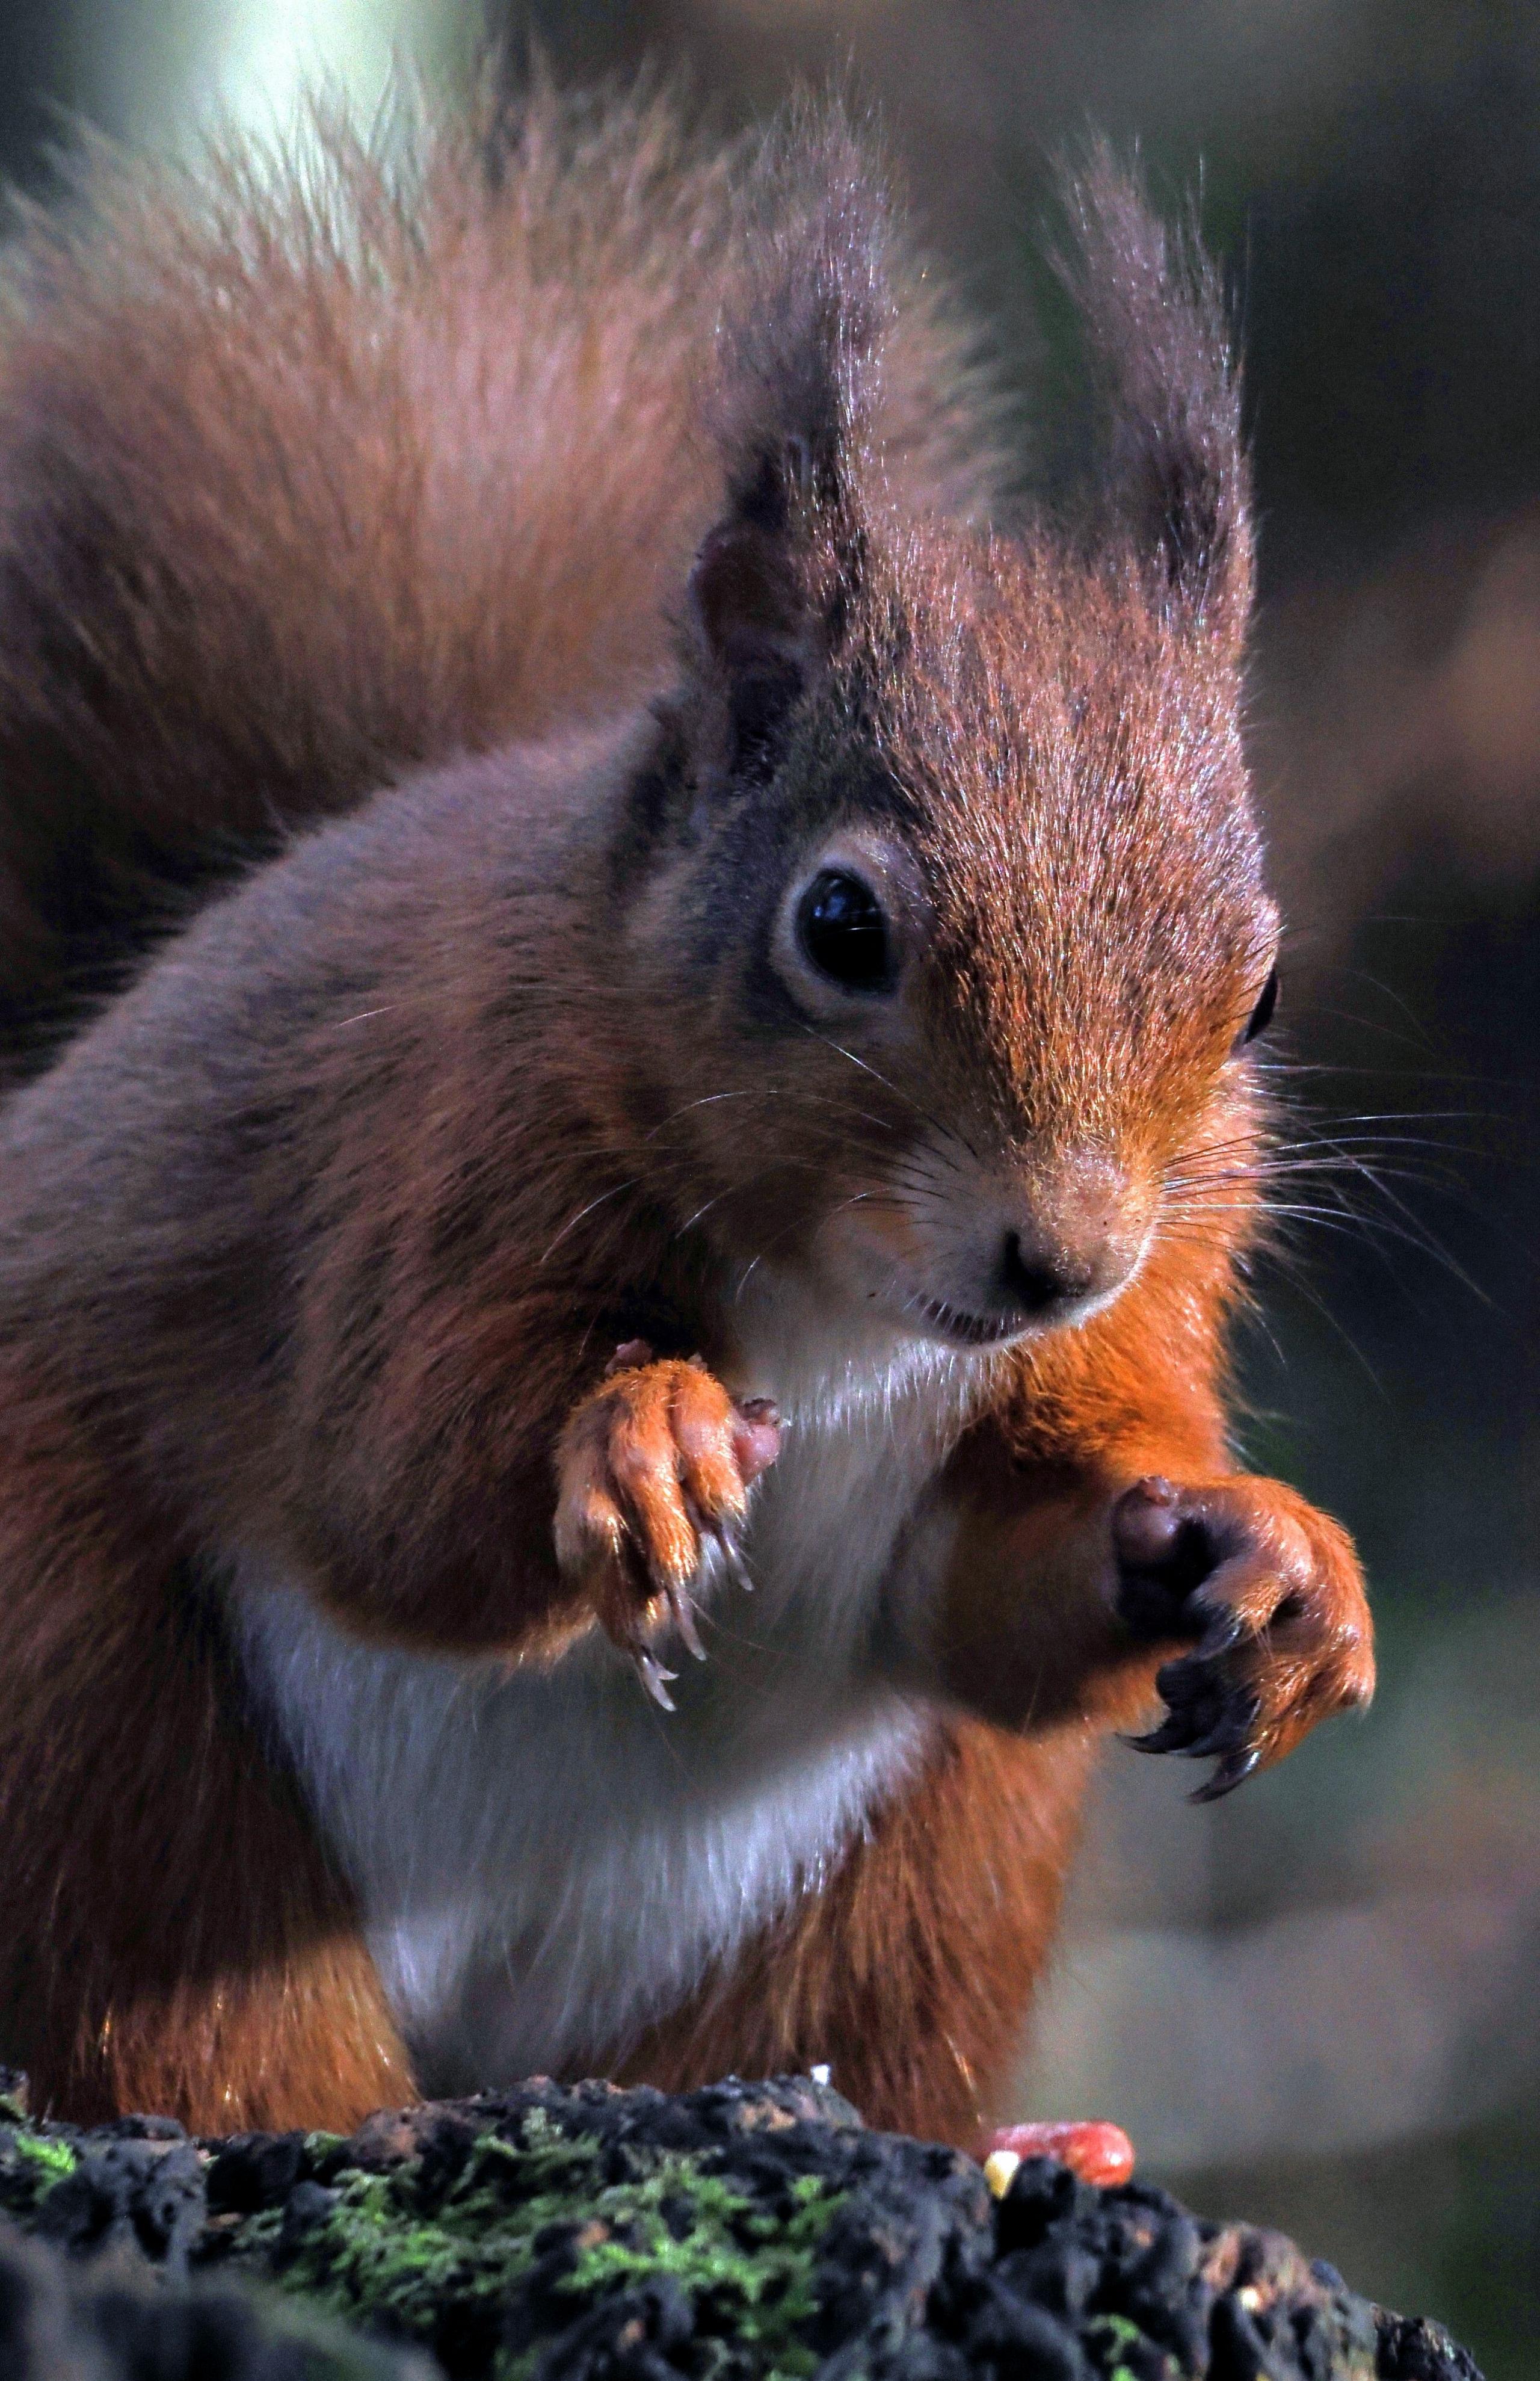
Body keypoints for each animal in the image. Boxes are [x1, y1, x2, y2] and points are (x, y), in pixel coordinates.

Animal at [0, 88, 1371, 2143]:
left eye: (1261, 993)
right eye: (838, 924)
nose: (1059, 1258)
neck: (850, 1308)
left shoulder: (1139, 1307)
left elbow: (984, 1589)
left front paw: (1264, 1548)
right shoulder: (436, 1137)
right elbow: (388, 1482)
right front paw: (640, 1432)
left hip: (907, 1889)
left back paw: (1026, 2137)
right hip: (91, 1720)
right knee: (188, 2013)